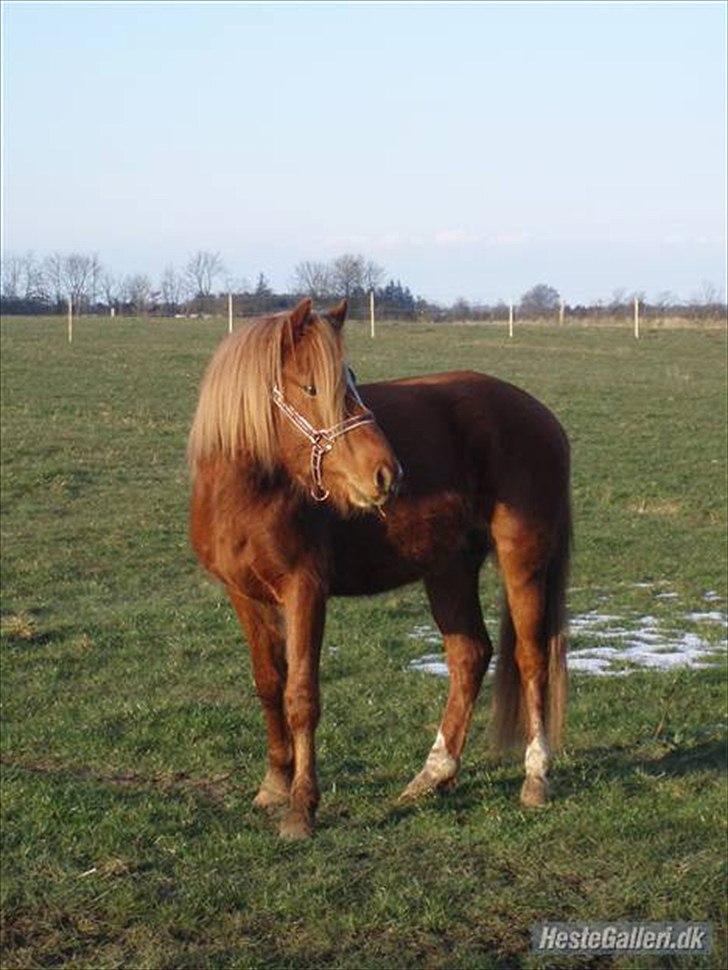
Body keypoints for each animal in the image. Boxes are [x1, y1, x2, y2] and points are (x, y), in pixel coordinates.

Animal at [186, 298, 568, 836]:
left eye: (351, 381)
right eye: (311, 387)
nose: (387, 474)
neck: (248, 494)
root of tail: (542, 416)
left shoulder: (305, 591)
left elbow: (301, 696)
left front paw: (301, 807)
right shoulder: (244, 595)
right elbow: (269, 684)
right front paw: (275, 784)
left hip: (523, 560)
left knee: (531, 658)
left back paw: (535, 776)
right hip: (449, 568)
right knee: (470, 655)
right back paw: (433, 775)